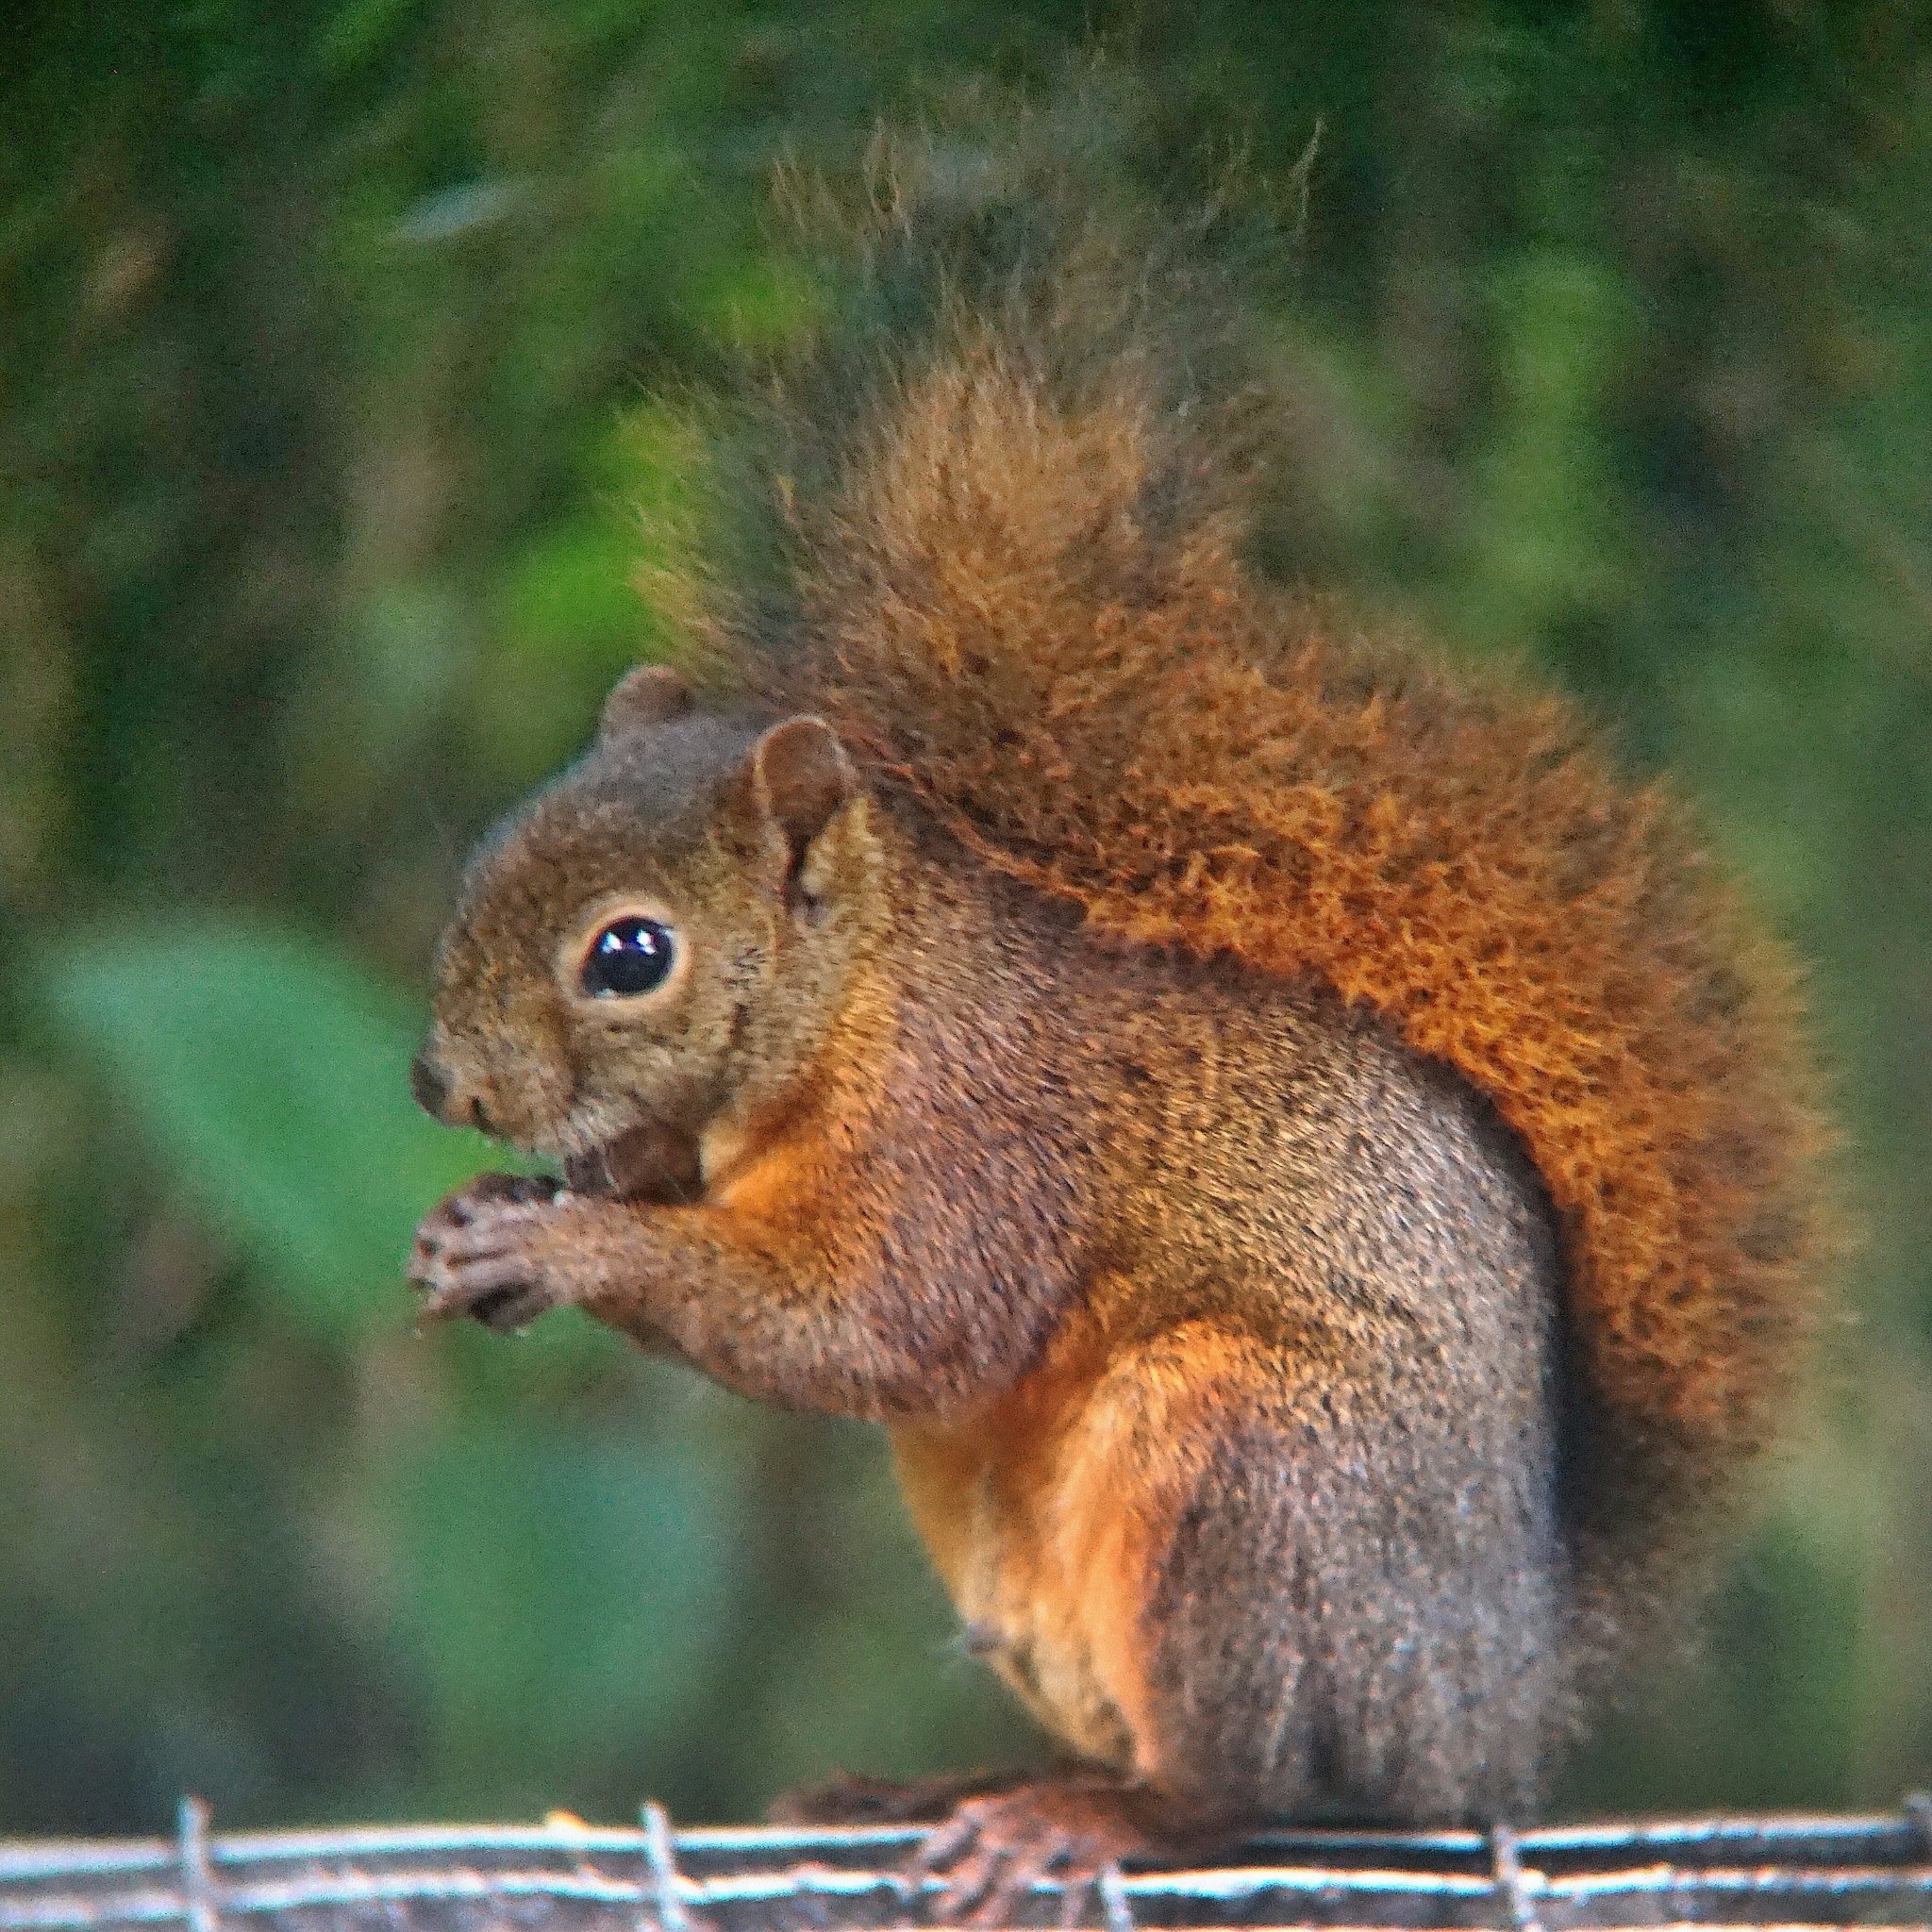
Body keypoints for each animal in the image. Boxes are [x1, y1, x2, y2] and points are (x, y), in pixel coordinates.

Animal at [404, 121, 1824, 1916]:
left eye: (631, 952)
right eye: (490, 847)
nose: (439, 1083)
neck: (864, 995)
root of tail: (1490, 1701)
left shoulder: (974, 1138)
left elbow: (878, 1323)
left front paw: (566, 1244)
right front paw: (483, 1223)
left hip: (1243, 1480)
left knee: (1252, 1791)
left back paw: (1094, 1820)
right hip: (1014, 1551)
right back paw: (943, 1783)